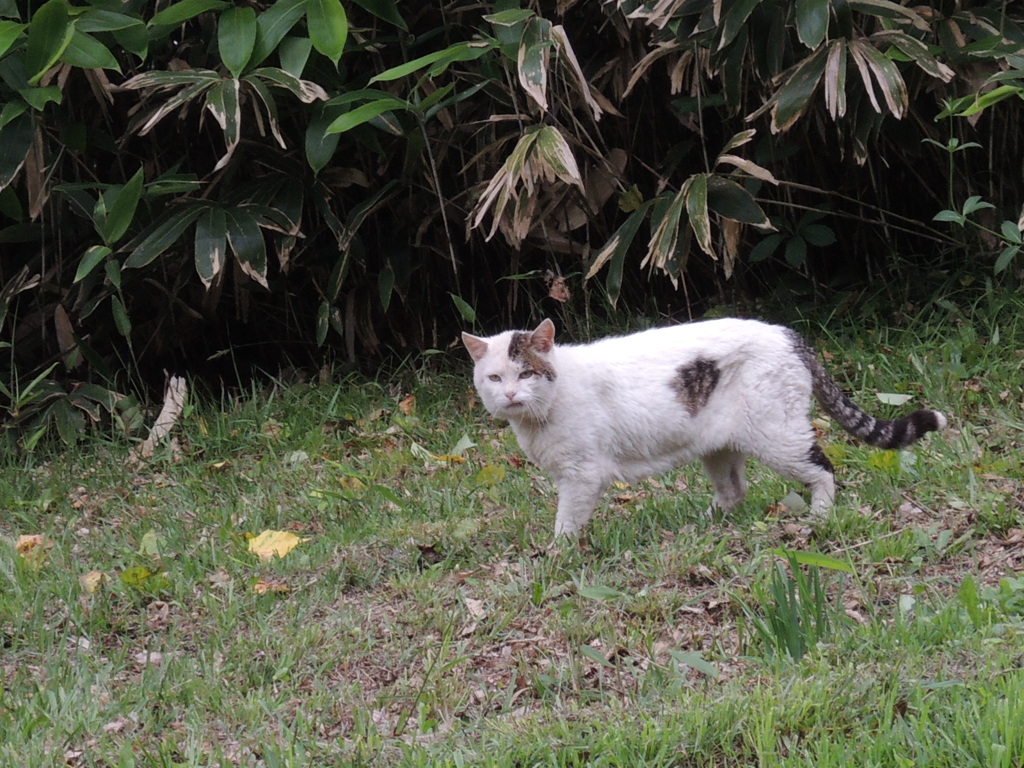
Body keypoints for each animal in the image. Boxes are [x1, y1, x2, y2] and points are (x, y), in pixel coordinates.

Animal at [460, 317, 946, 536]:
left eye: (526, 374)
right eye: (495, 378)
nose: (510, 395)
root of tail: (788, 334)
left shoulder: (582, 476)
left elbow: (566, 522)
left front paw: (557, 554)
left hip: (780, 437)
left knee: (823, 469)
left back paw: (819, 515)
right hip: (718, 449)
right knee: (734, 492)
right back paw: (698, 525)